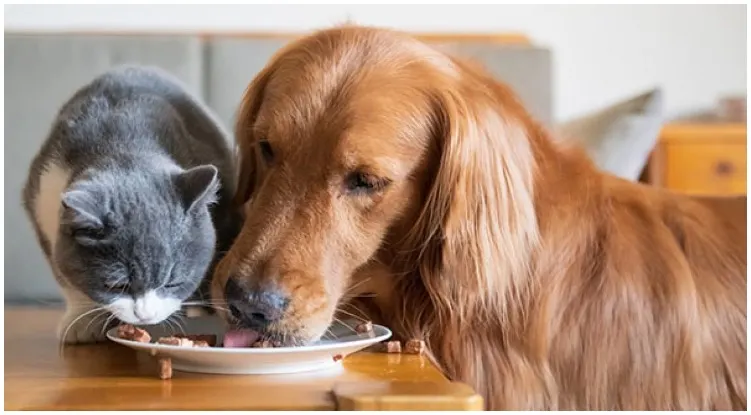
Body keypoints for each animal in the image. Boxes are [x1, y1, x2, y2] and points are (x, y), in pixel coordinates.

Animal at [22, 65, 241, 344]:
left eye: (172, 282)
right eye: (117, 285)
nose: (145, 316)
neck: (120, 141)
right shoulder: (43, 197)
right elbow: (66, 274)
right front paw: (81, 320)